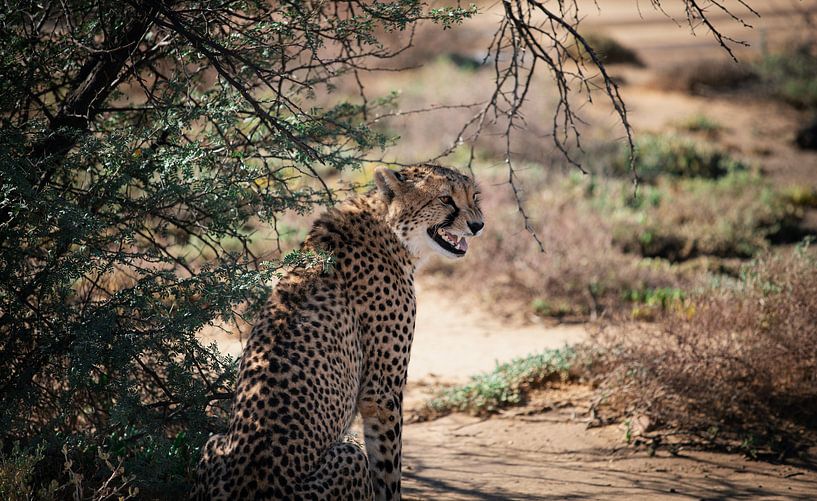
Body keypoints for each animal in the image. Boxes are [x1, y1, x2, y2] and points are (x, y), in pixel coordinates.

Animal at [194, 164, 484, 500]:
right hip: (350, 457)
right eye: (446, 199)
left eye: (474, 197)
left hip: (213, 441)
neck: (390, 231)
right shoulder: (381, 392)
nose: (478, 225)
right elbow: (388, 470)